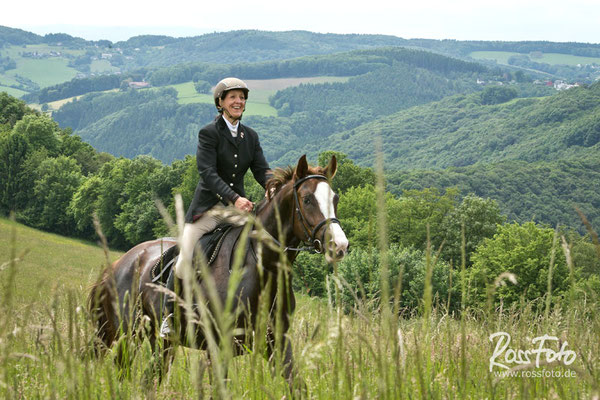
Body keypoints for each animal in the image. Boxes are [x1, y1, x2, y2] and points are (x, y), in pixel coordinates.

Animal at [88, 155, 346, 392]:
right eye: (307, 199)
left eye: (335, 198)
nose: (340, 245)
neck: (263, 268)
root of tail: (119, 264)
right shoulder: (219, 348)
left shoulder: (277, 343)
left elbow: (297, 385)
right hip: (128, 335)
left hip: (162, 343)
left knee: (148, 379)